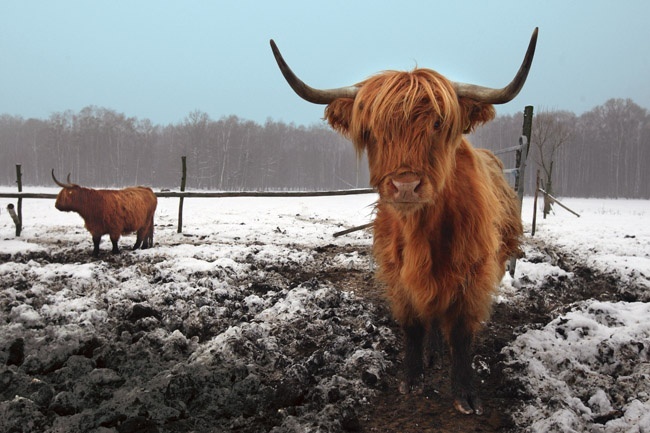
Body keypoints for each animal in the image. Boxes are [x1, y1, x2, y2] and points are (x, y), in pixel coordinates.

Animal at [270, 28, 536, 414]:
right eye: (372, 130)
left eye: (439, 124)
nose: (406, 185)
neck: (422, 232)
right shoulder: (397, 273)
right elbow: (413, 325)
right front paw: (411, 378)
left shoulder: (474, 274)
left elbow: (461, 332)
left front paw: (465, 393)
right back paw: (432, 354)